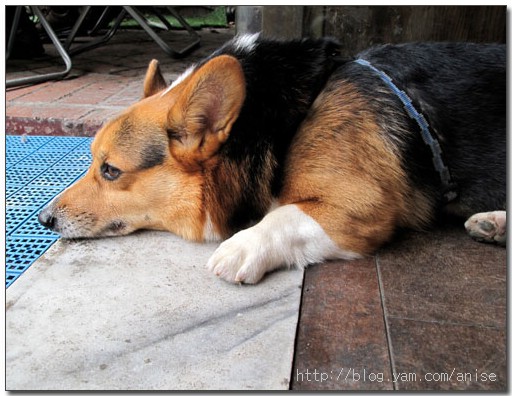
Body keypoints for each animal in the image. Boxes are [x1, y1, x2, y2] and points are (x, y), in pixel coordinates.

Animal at [38, 34, 506, 284]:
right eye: (91, 162)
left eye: (110, 170)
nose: (44, 219)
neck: (280, 124)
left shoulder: (361, 206)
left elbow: (283, 215)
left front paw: (241, 246)